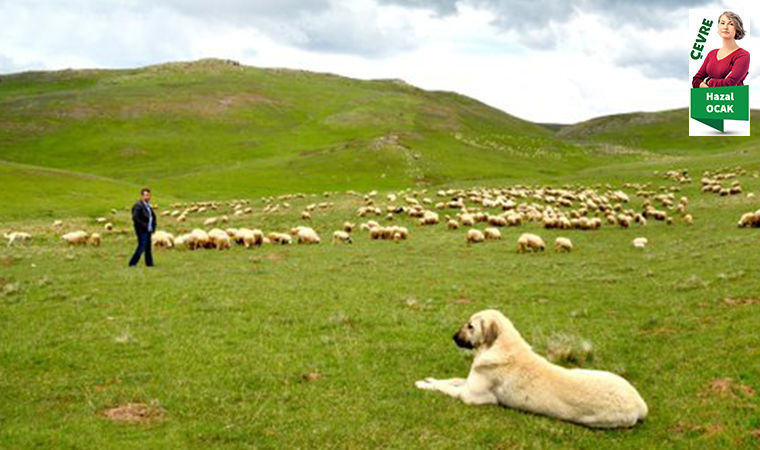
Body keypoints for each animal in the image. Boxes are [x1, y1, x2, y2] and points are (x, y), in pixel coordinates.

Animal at [416, 310, 648, 428]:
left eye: (470, 326)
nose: (453, 337)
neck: (499, 346)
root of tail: (640, 404)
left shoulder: (471, 396)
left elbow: (447, 389)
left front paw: (423, 384)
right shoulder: (469, 383)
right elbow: (451, 380)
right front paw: (430, 379)